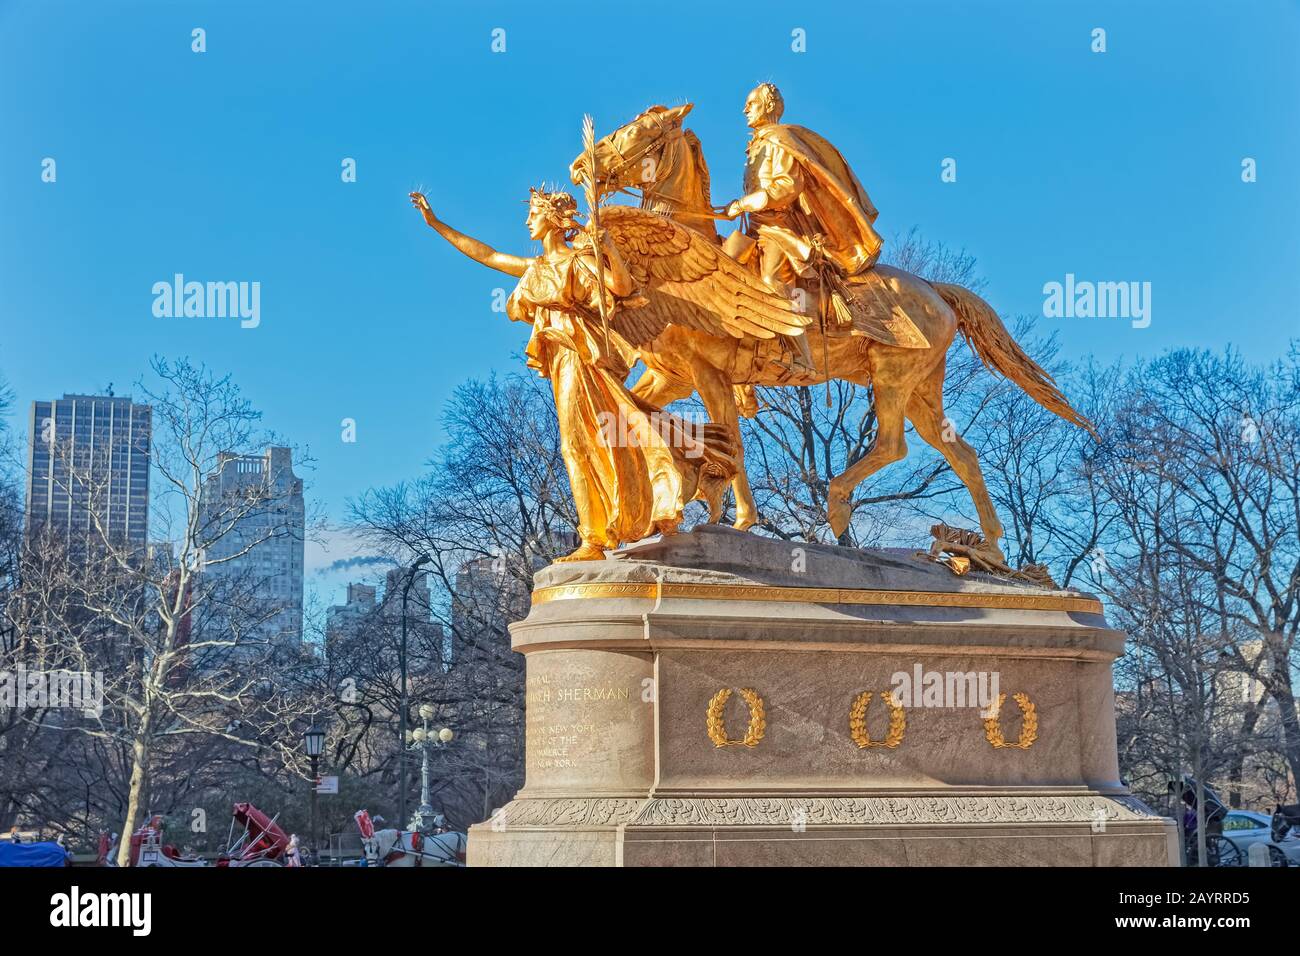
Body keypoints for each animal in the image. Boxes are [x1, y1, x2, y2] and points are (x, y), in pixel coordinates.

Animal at [574, 104, 1092, 561]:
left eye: (635, 132)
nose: (581, 168)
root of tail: (935, 290)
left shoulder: (709, 374)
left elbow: (732, 438)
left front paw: (737, 517)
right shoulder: (672, 377)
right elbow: (635, 409)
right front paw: (688, 493)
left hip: (893, 376)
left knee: (893, 444)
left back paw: (839, 505)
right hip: (921, 391)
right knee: (962, 453)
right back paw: (991, 550)